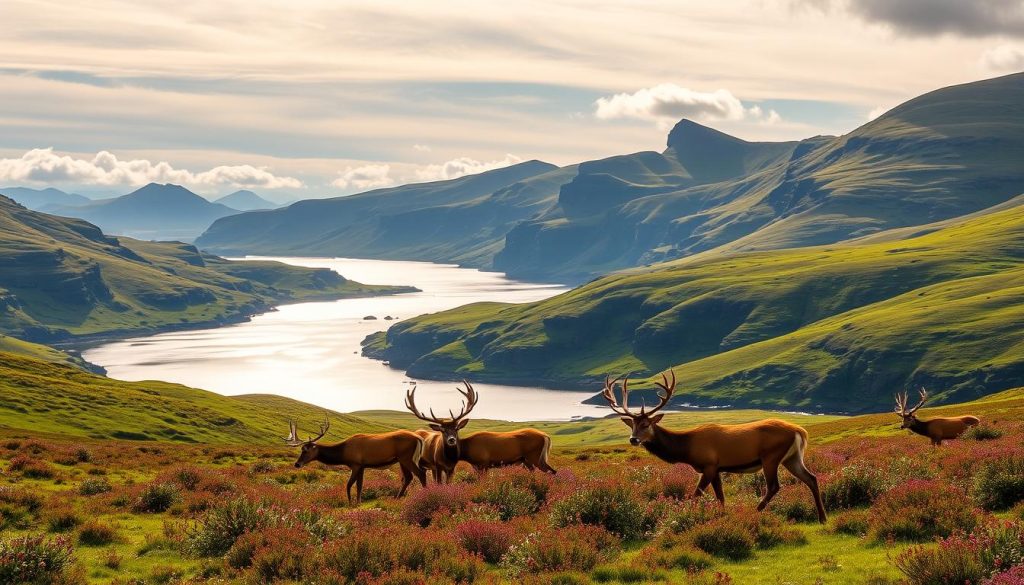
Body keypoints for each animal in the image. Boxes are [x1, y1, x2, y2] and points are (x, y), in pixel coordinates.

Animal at [282, 415, 425, 504]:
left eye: (306, 450)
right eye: (301, 449)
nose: (297, 464)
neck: (343, 454)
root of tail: (419, 438)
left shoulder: (355, 464)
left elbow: (349, 484)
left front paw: (350, 502)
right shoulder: (362, 466)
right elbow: (359, 486)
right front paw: (358, 502)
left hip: (406, 457)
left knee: (420, 474)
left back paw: (425, 493)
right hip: (401, 460)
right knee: (408, 477)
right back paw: (397, 497)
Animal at [602, 372, 827, 524]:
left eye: (646, 424)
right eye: (632, 425)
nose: (633, 439)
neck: (687, 448)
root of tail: (800, 431)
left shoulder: (709, 464)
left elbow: (696, 495)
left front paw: (687, 517)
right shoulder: (718, 468)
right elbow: (720, 497)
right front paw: (722, 516)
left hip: (771, 456)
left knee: (774, 486)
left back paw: (754, 511)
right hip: (792, 458)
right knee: (811, 478)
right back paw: (822, 517)